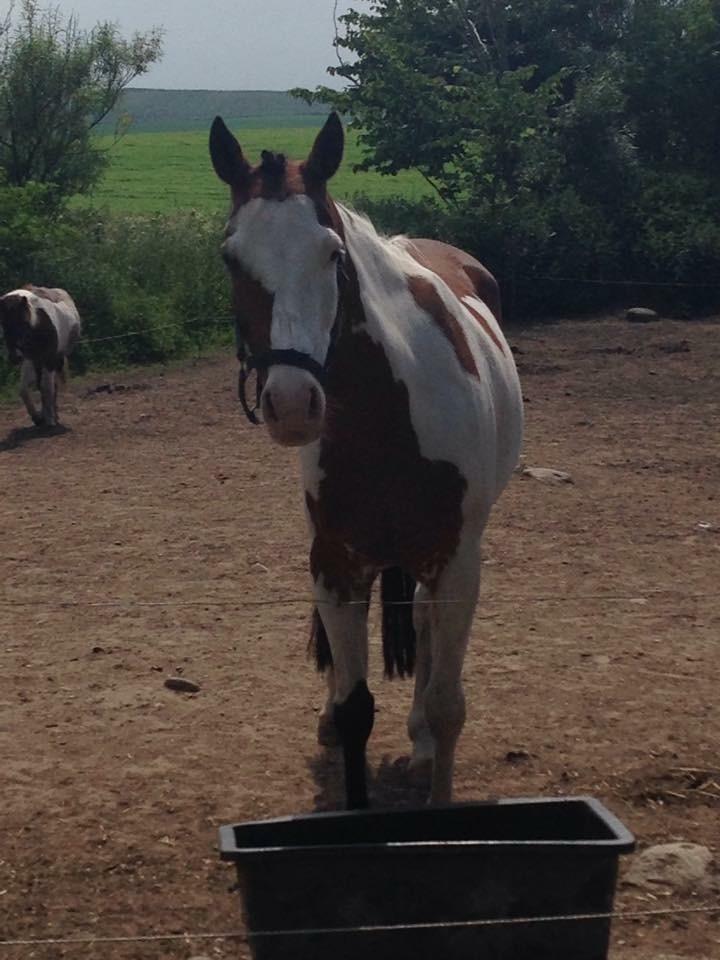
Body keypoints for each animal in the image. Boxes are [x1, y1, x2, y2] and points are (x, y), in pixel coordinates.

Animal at [0, 285, 81, 427]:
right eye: (3, 323)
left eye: (23, 322)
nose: (15, 357)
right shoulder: (30, 359)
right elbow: (25, 390)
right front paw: (37, 417)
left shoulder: (49, 360)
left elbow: (47, 388)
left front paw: (49, 419)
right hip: (37, 362)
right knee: (40, 386)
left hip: (55, 361)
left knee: (51, 386)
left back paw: (53, 415)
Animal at [209, 113, 523, 809]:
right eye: (230, 257)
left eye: (332, 252)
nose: (292, 403)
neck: (391, 417)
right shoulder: (334, 563)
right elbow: (357, 709)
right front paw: (341, 730)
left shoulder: (457, 566)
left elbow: (447, 705)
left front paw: (433, 769)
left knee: (428, 637)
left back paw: (421, 745)